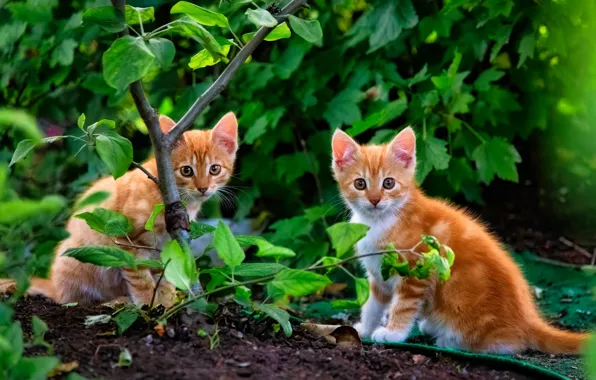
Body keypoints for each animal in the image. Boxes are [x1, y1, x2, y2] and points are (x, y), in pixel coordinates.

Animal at [330, 127, 588, 354]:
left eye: (389, 183)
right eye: (360, 184)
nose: (374, 200)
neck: (381, 221)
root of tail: (528, 320)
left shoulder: (416, 270)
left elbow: (403, 305)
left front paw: (393, 333)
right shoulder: (378, 274)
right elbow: (372, 304)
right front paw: (364, 328)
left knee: (508, 344)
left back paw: (450, 340)